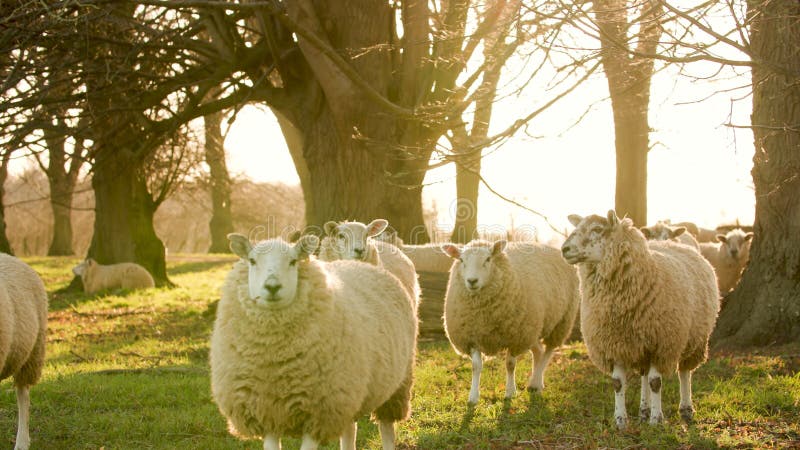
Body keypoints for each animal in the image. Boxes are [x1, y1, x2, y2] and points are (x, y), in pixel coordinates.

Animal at [440, 239, 580, 404]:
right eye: (461, 260)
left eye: (488, 259)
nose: (472, 281)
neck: (483, 314)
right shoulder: (471, 336)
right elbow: (476, 366)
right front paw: (473, 397)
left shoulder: (516, 337)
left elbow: (510, 364)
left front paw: (510, 392)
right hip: (533, 327)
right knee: (538, 352)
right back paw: (533, 383)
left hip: (561, 322)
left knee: (548, 352)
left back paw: (537, 382)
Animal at [564, 211, 720, 428]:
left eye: (597, 229)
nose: (564, 249)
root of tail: (672, 243)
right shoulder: (614, 343)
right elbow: (618, 383)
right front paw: (621, 420)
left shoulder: (660, 343)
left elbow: (656, 382)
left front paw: (656, 420)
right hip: (641, 344)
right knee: (644, 374)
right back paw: (643, 410)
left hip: (695, 338)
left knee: (684, 372)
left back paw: (685, 410)